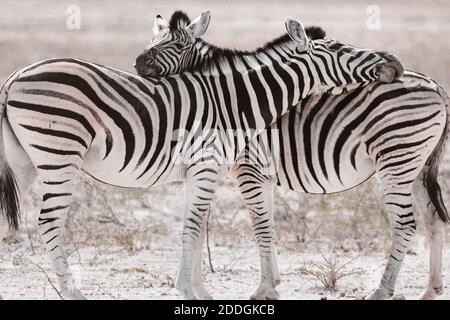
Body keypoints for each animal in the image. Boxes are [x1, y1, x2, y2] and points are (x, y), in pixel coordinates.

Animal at [137, 10, 450, 300]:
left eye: (177, 45)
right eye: (152, 40)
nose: (137, 64)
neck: (229, 99)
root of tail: (435, 84)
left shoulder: (248, 170)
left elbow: (259, 225)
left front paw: (263, 289)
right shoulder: (253, 174)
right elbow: (261, 224)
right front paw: (273, 282)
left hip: (396, 159)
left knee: (405, 224)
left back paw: (382, 291)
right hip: (417, 166)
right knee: (433, 219)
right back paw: (431, 289)